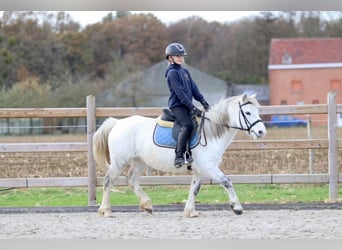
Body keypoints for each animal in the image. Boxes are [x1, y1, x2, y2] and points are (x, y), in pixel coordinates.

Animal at [93, 94, 268, 217]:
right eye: (247, 112)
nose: (261, 132)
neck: (210, 133)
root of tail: (117, 123)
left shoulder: (200, 170)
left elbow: (194, 189)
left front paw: (191, 211)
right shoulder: (209, 168)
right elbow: (227, 181)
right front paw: (237, 207)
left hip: (139, 162)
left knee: (131, 180)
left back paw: (147, 205)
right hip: (118, 162)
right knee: (108, 182)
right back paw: (106, 210)